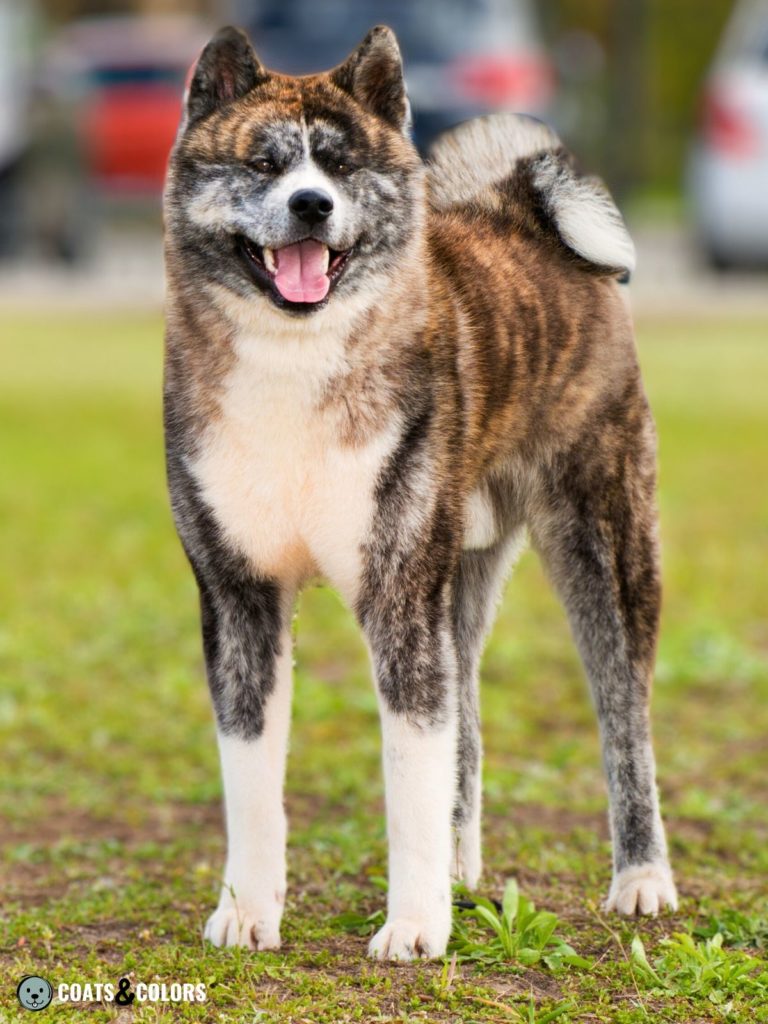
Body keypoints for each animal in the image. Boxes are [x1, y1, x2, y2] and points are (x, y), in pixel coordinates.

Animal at [163, 24, 679, 954]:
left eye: (341, 165)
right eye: (263, 164)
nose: (311, 205)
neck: (297, 362)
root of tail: (519, 208)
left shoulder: (400, 598)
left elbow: (408, 780)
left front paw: (412, 927)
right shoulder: (240, 599)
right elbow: (252, 781)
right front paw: (248, 910)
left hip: (606, 546)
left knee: (626, 719)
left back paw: (642, 879)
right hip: (462, 574)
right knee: (465, 717)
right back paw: (462, 873)